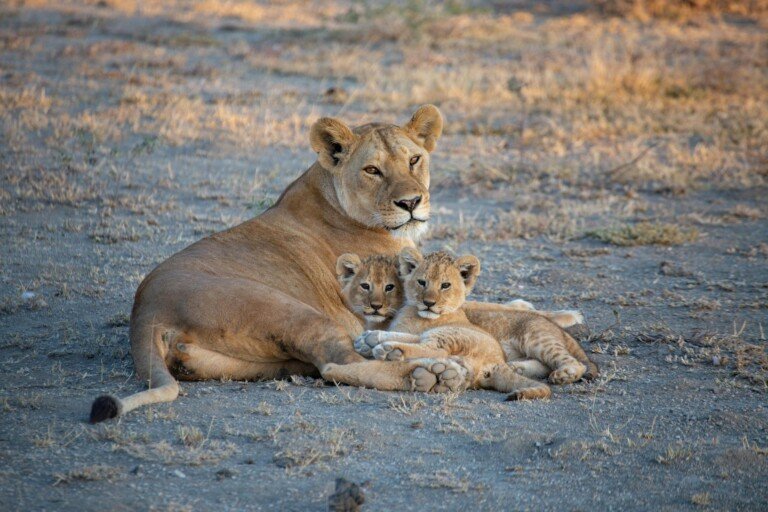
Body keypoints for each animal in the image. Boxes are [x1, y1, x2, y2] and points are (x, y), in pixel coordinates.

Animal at [89, 105, 589, 422]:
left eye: (415, 159)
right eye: (372, 170)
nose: (412, 203)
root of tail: (146, 311)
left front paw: (534, 308)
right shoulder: (398, 296)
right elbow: (482, 305)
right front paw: (557, 313)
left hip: (253, 362)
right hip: (291, 311)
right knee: (340, 365)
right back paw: (432, 373)